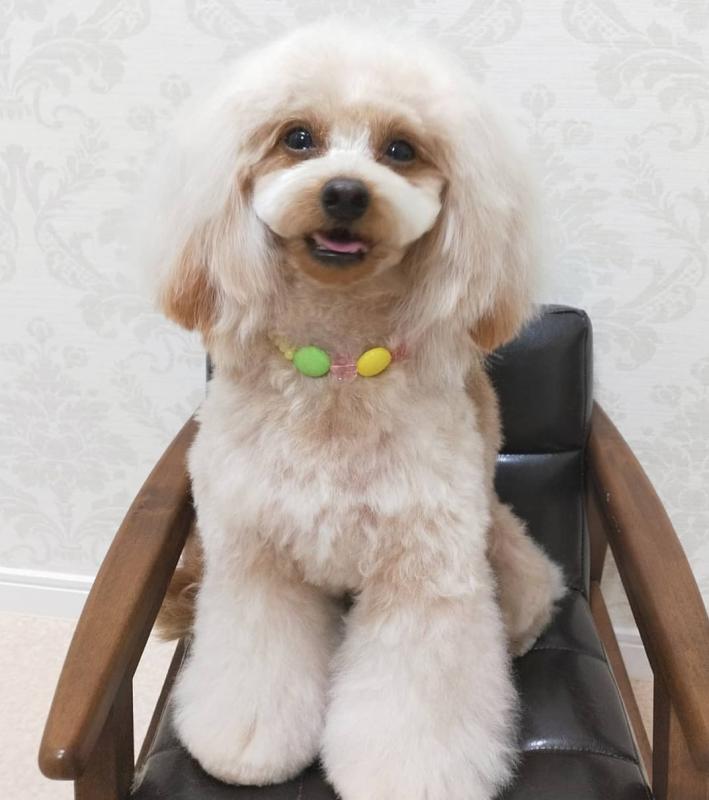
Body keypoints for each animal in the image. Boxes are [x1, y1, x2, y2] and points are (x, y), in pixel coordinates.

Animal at [145, 20, 564, 800]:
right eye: (297, 137)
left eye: (400, 148)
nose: (343, 192)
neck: (335, 367)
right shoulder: (253, 559)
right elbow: (256, 663)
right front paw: (245, 743)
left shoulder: (426, 568)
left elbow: (416, 703)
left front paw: (409, 775)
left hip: (508, 561)